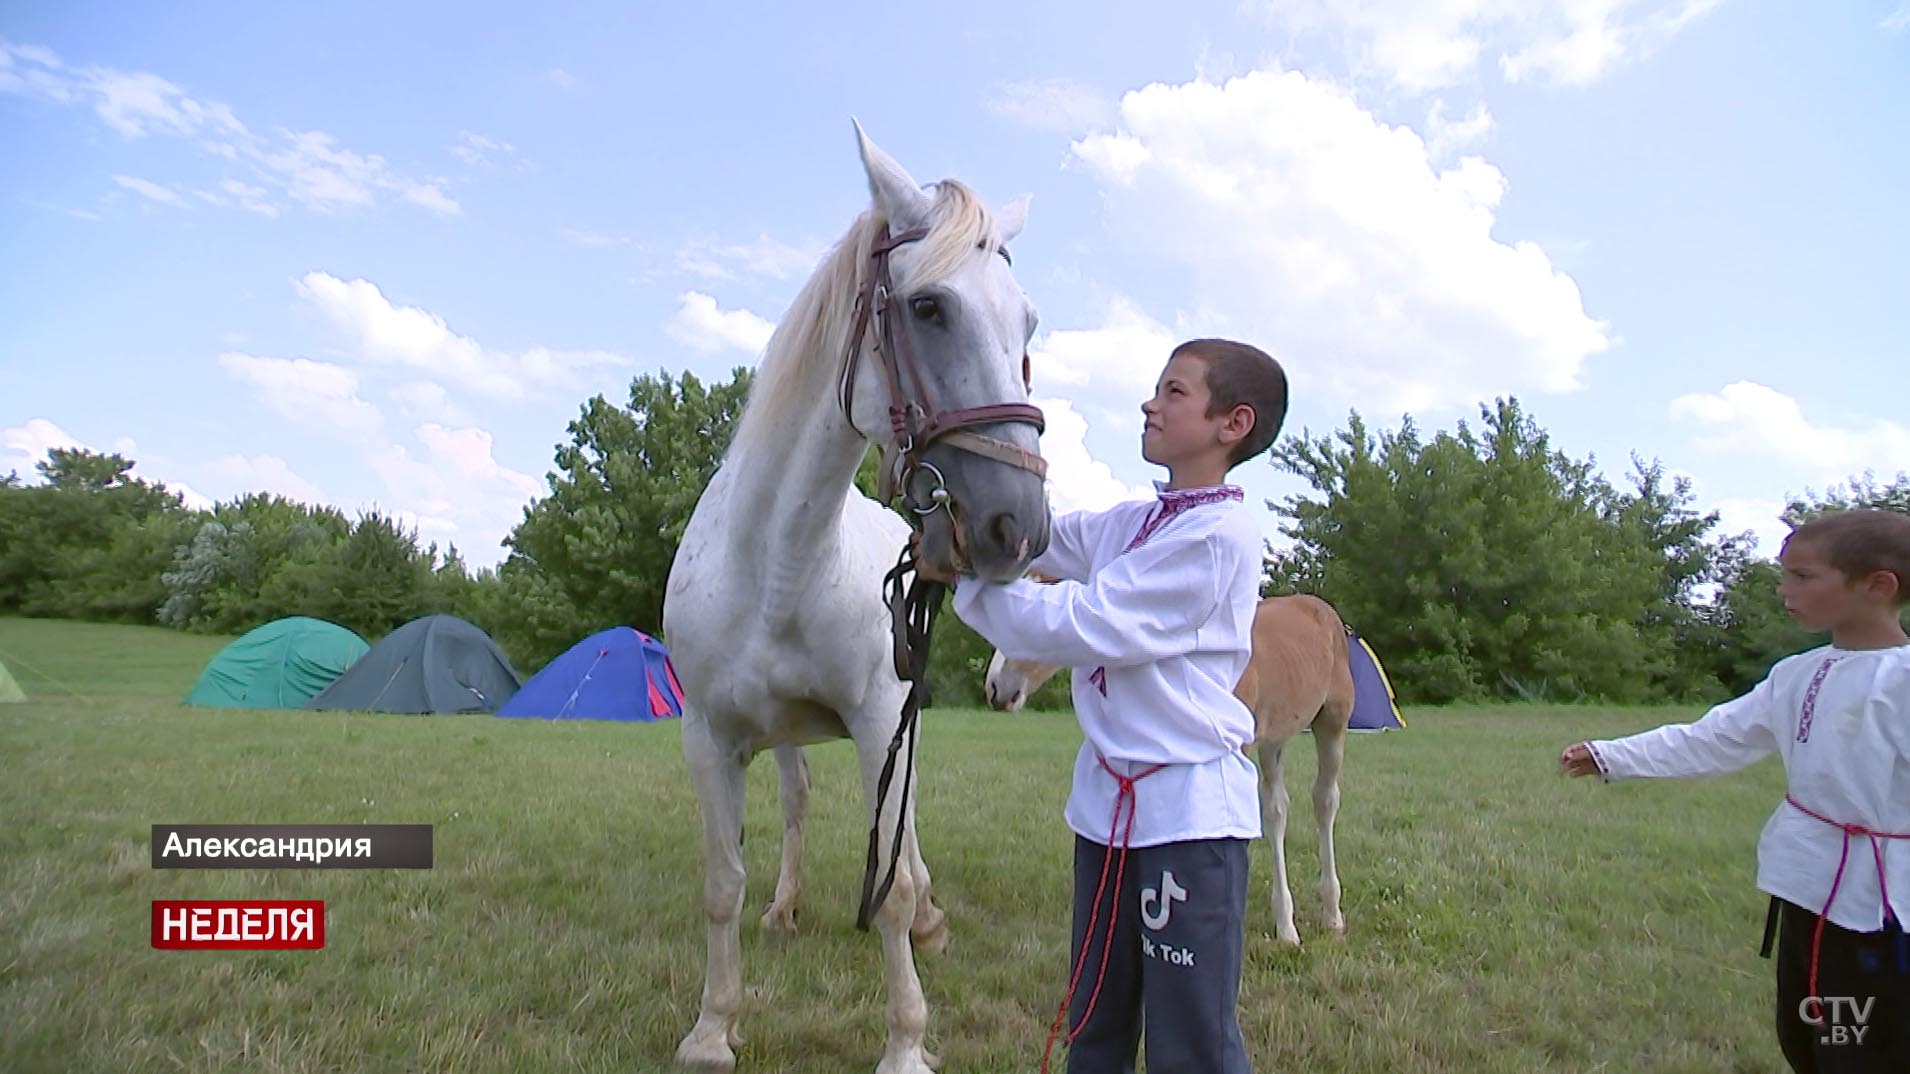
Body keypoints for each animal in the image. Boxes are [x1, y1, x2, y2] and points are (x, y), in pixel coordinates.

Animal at [664, 127, 1054, 1070]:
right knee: (799, 805)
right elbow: (722, 881)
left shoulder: (883, 719)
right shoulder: (710, 737)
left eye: (1025, 323)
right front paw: (713, 1026)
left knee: (905, 840)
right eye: (929, 308)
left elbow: (899, 888)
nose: (1020, 526)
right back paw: (785, 907)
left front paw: (906, 1042)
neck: (776, 567)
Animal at [985, 592, 1359, 944]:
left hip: (1332, 718)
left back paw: (1331, 915)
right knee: (1276, 806)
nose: (996, 687)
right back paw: (1286, 923)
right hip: (1273, 738)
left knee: (1324, 799)